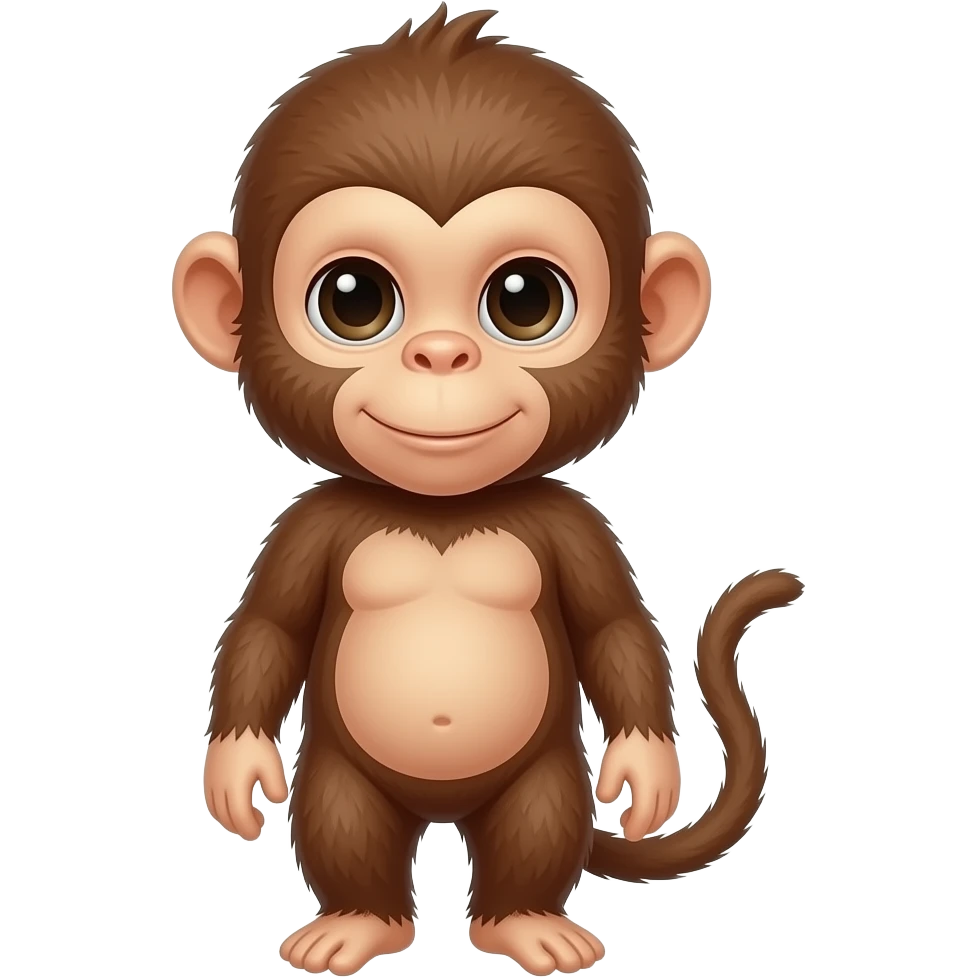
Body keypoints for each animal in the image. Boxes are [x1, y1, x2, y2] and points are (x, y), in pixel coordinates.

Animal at [174, 6, 805, 976]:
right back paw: (359, 922)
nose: (441, 355)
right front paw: (238, 771)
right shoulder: (308, 524)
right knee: (345, 825)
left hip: (542, 780)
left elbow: (615, 629)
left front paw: (647, 770)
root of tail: (444, 815)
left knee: (533, 832)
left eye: (525, 298)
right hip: (345, 779)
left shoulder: (574, 524)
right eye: (352, 298)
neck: (442, 512)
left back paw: (525, 922)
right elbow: (267, 629)